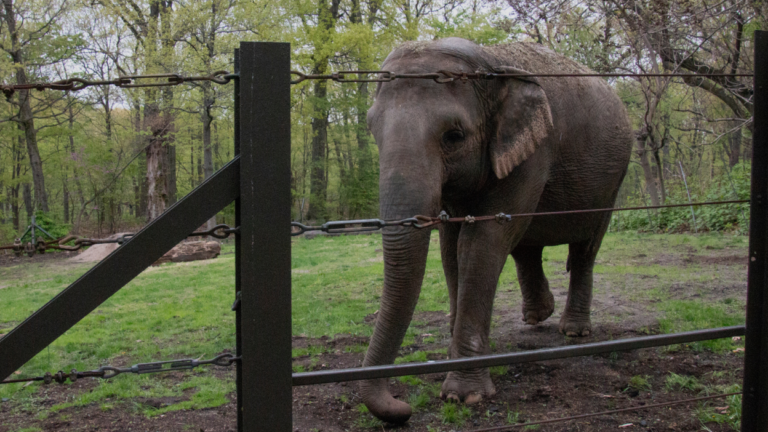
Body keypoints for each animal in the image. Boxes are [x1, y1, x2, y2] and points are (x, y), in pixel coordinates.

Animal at [360, 37, 633, 423]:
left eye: (454, 136)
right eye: (372, 129)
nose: (403, 407)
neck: (490, 62)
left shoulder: (535, 149)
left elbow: (480, 243)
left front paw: (464, 395)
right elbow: (451, 247)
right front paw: (453, 345)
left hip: (613, 180)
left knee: (585, 248)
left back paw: (574, 330)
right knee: (526, 245)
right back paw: (536, 317)